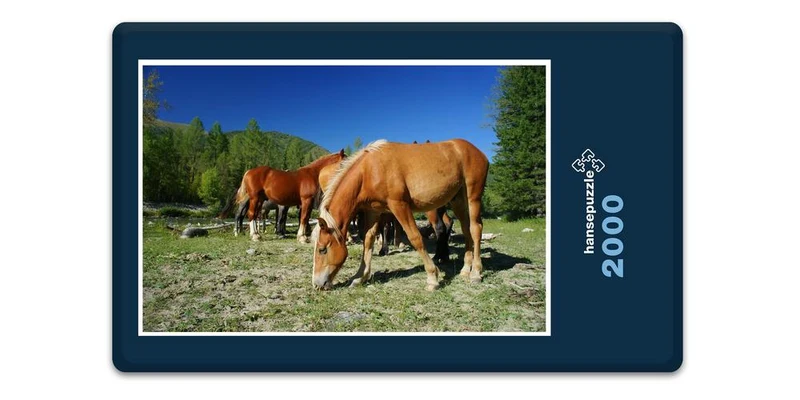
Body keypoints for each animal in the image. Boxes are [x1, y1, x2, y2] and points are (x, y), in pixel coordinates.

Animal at [312, 139, 489, 291]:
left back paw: (475, 273)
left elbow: (415, 238)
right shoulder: (373, 211)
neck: (370, 170)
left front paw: (432, 277)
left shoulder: (399, 206)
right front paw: (360, 277)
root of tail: (476, 151)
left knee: (476, 229)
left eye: (322, 249)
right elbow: (368, 240)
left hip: (473, 197)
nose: (317, 284)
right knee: (466, 230)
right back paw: (465, 269)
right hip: (458, 201)